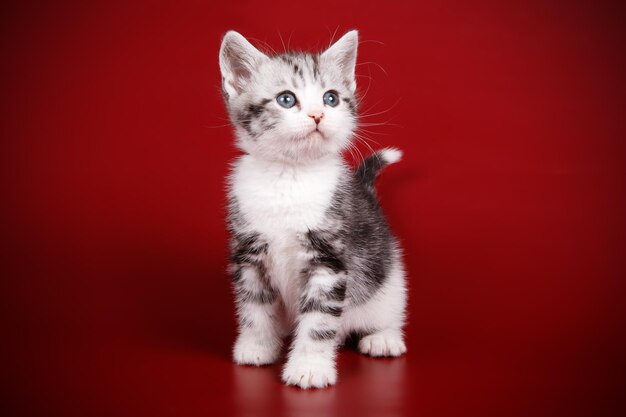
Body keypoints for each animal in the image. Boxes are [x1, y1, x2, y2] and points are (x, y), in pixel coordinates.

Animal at [218, 30, 404, 388]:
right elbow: (254, 306)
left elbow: (319, 320)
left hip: (387, 274)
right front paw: (256, 347)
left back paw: (383, 337)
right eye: (286, 99)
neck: (290, 176)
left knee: (386, 306)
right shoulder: (248, 254)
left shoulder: (328, 259)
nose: (318, 115)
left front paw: (309, 367)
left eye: (331, 98)